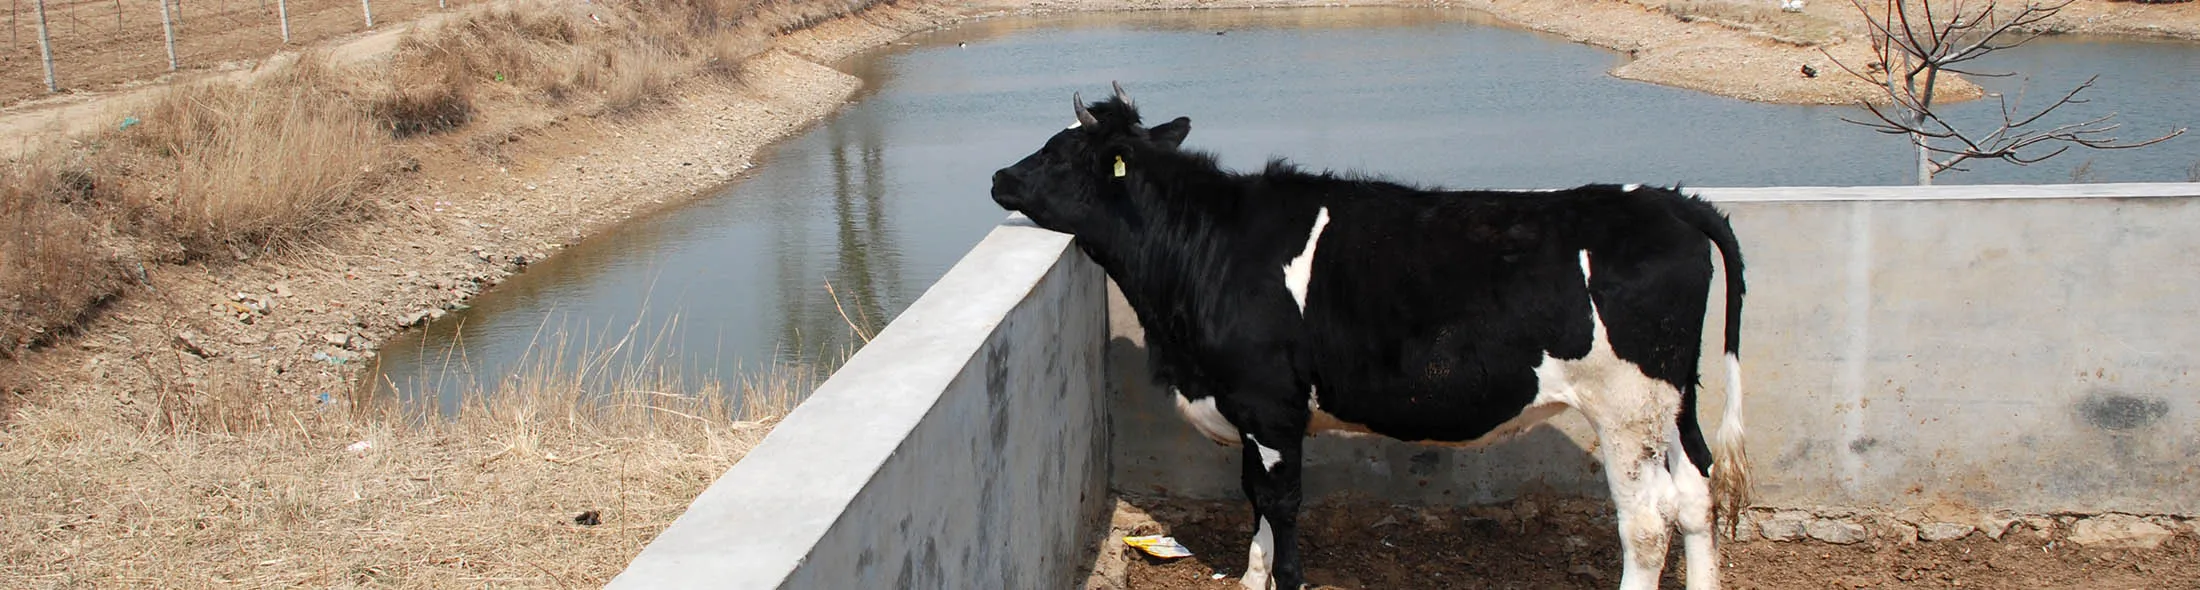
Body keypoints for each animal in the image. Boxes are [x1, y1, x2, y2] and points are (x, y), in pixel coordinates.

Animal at [989, 85, 1751, 590]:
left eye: (1062, 151)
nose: (999, 176)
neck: (1207, 248)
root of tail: (1667, 199)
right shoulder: (1254, 409)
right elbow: (1254, 496)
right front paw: (1252, 578)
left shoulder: (1269, 401)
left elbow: (1281, 502)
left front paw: (1286, 579)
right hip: (1674, 401)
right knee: (1696, 494)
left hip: (1627, 407)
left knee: (1647, 522)